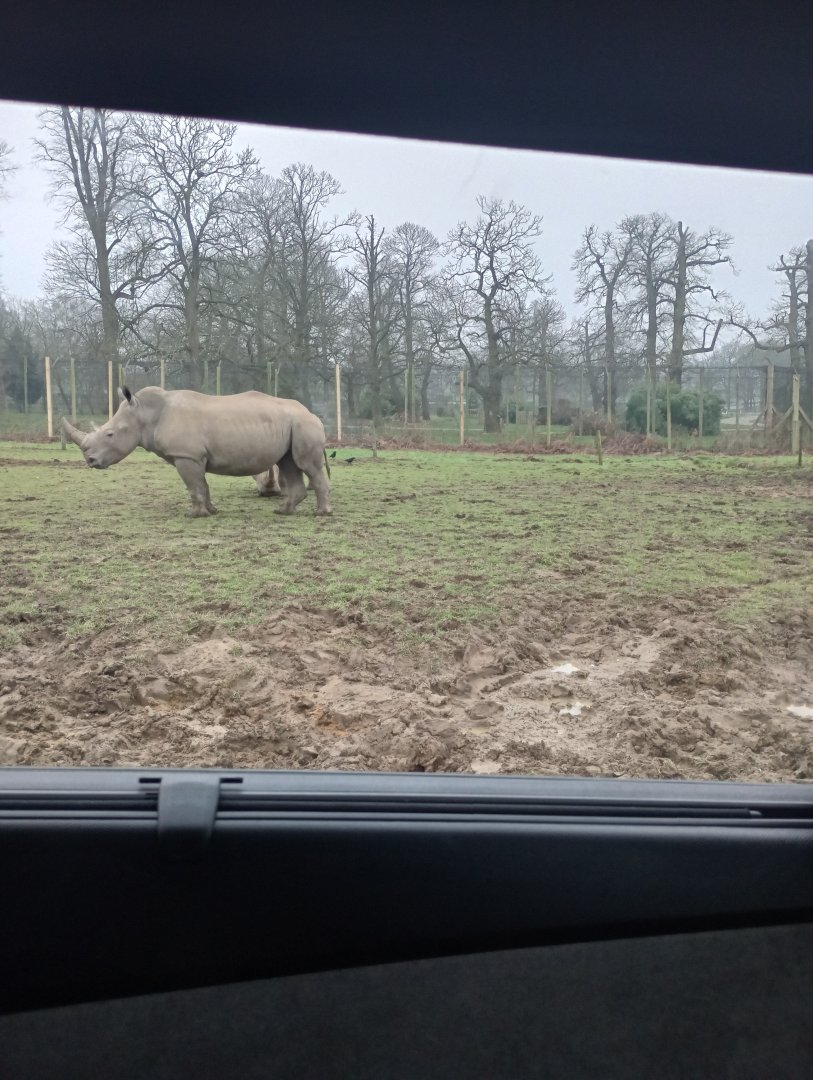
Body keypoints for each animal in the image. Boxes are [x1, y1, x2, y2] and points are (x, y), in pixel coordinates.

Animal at [62, 386, 333, 518]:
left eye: (110, 434)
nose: (90, 460)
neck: (147, 413)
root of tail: (313, 414)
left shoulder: (186, 455)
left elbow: (194, 486)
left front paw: (193, 515)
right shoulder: (194, 456)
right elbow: (203, 485)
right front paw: (211, 511)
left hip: (303, 424)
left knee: (307, 466)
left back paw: (321, 514)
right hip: (292, 425)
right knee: (289, 463)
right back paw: (284, 511)